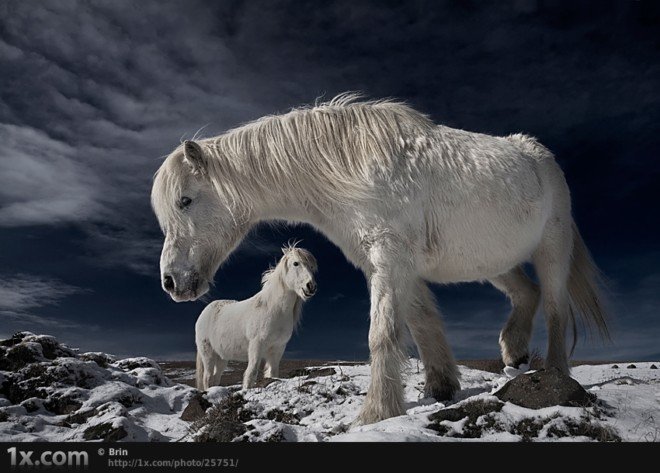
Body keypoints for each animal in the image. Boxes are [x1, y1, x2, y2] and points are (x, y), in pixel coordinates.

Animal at [193, 245, 318, 390]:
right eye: (296, 263)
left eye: (311, 266)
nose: (311, 286)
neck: (274, 309)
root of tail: (205, 312)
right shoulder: (256, 346)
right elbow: (251, 373)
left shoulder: (277, 349)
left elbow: (273, 373)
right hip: (208, 354)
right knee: (207, 377)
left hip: (221, 357)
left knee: (215, 378)